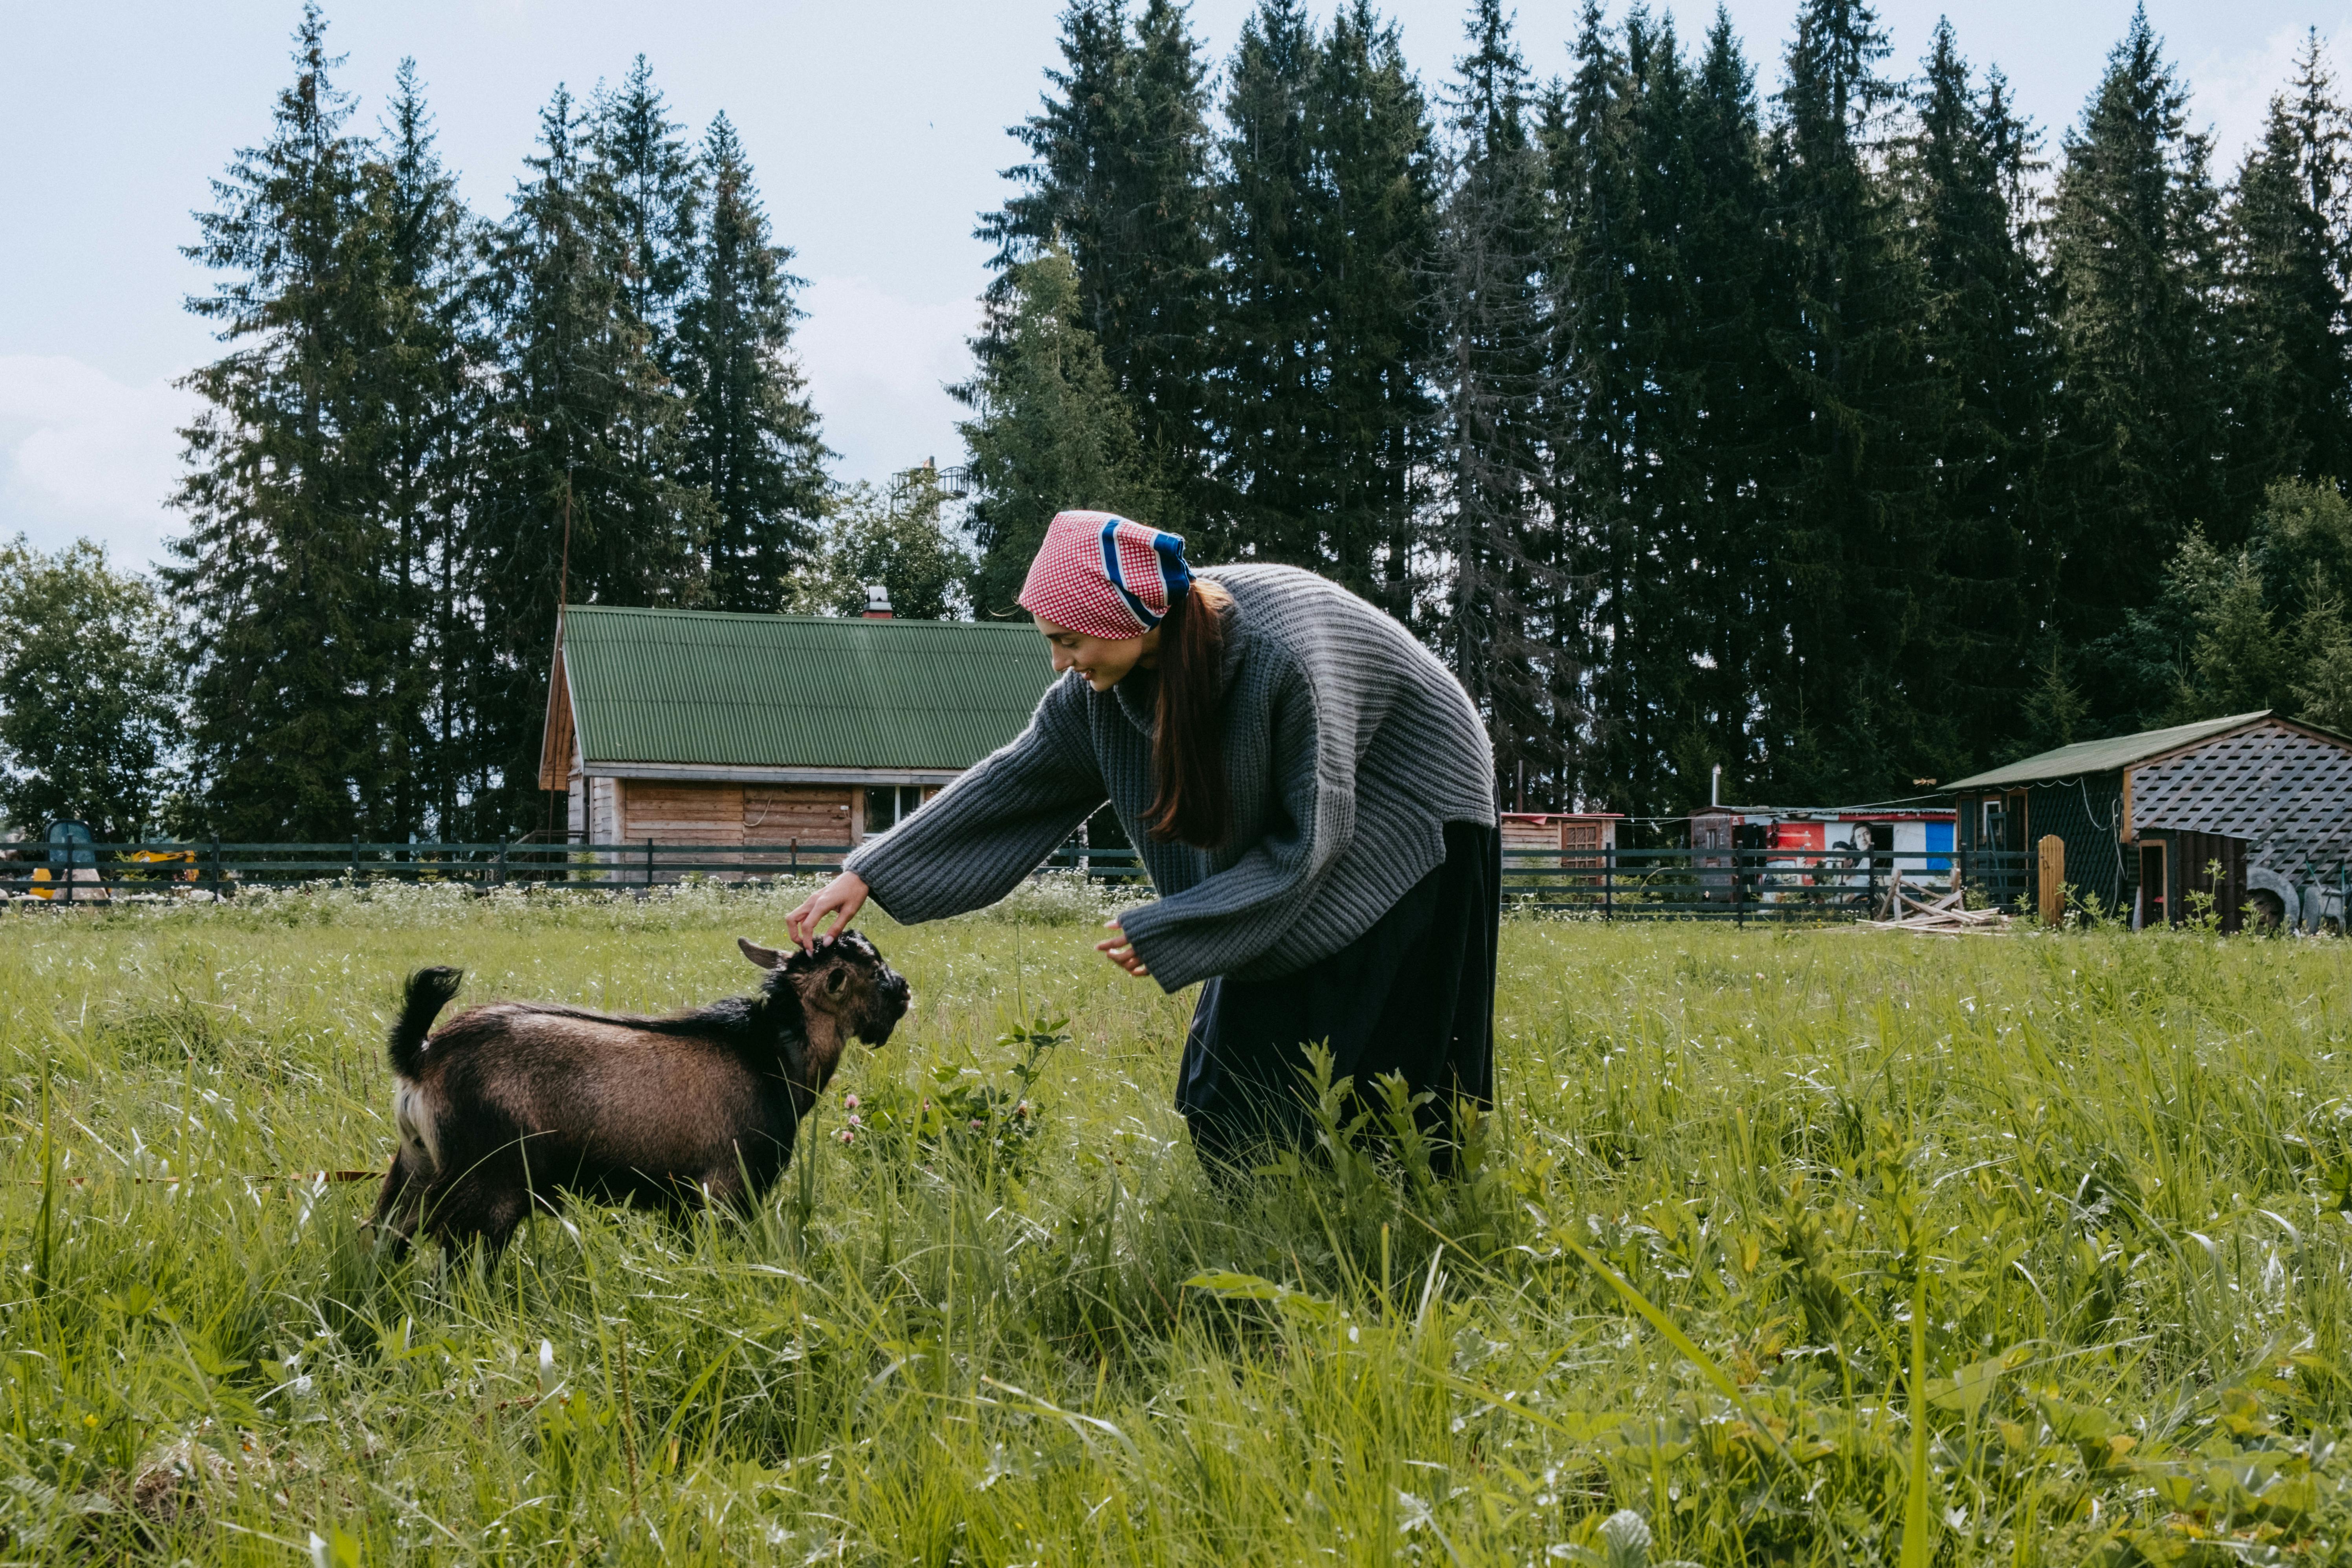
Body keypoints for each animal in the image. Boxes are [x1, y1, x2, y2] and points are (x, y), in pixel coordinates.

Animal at [374, 931, 908, 1260]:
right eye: (873, 968)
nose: (904, 990)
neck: (772, 1055)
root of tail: (422, 1056)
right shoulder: (726, 1190)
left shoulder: (680, 1199)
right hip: (488, 1188)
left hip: (415, 1170)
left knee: (382, 1236)